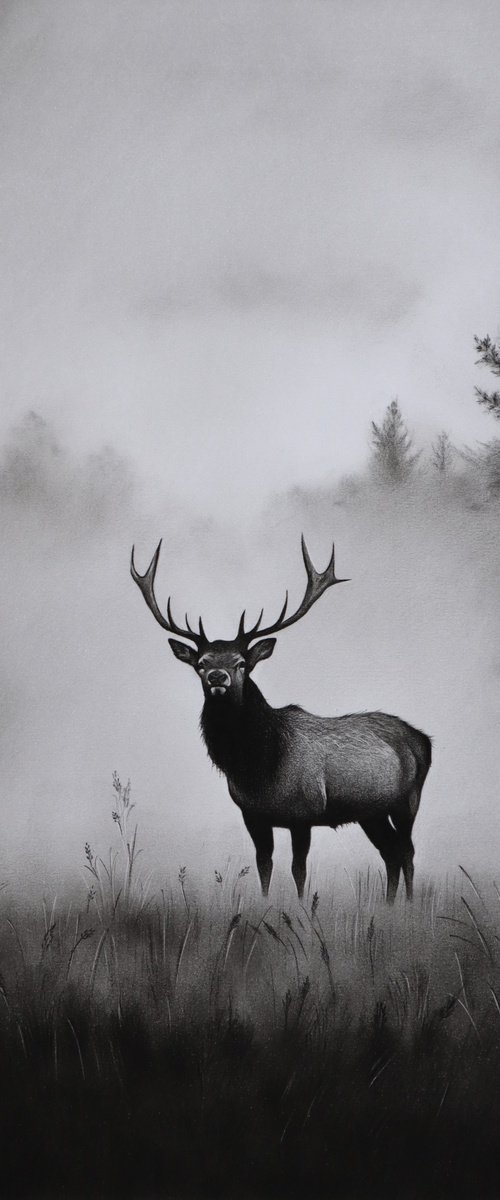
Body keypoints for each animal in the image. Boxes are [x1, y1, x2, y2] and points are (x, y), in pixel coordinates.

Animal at [131, 537, 431, 904]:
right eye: (201, 663)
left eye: (241, 662)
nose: (218, 677)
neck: (258, 766)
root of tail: (424, 739)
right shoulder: (252, 815)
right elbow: (264, 864)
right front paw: (264, 904)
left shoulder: (304, 813)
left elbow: (298, 869)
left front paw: (301, 908)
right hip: (370, 811)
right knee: (389, 852)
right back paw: (388, 907)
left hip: (408, 799)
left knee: (407, 851)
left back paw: (408, 905)